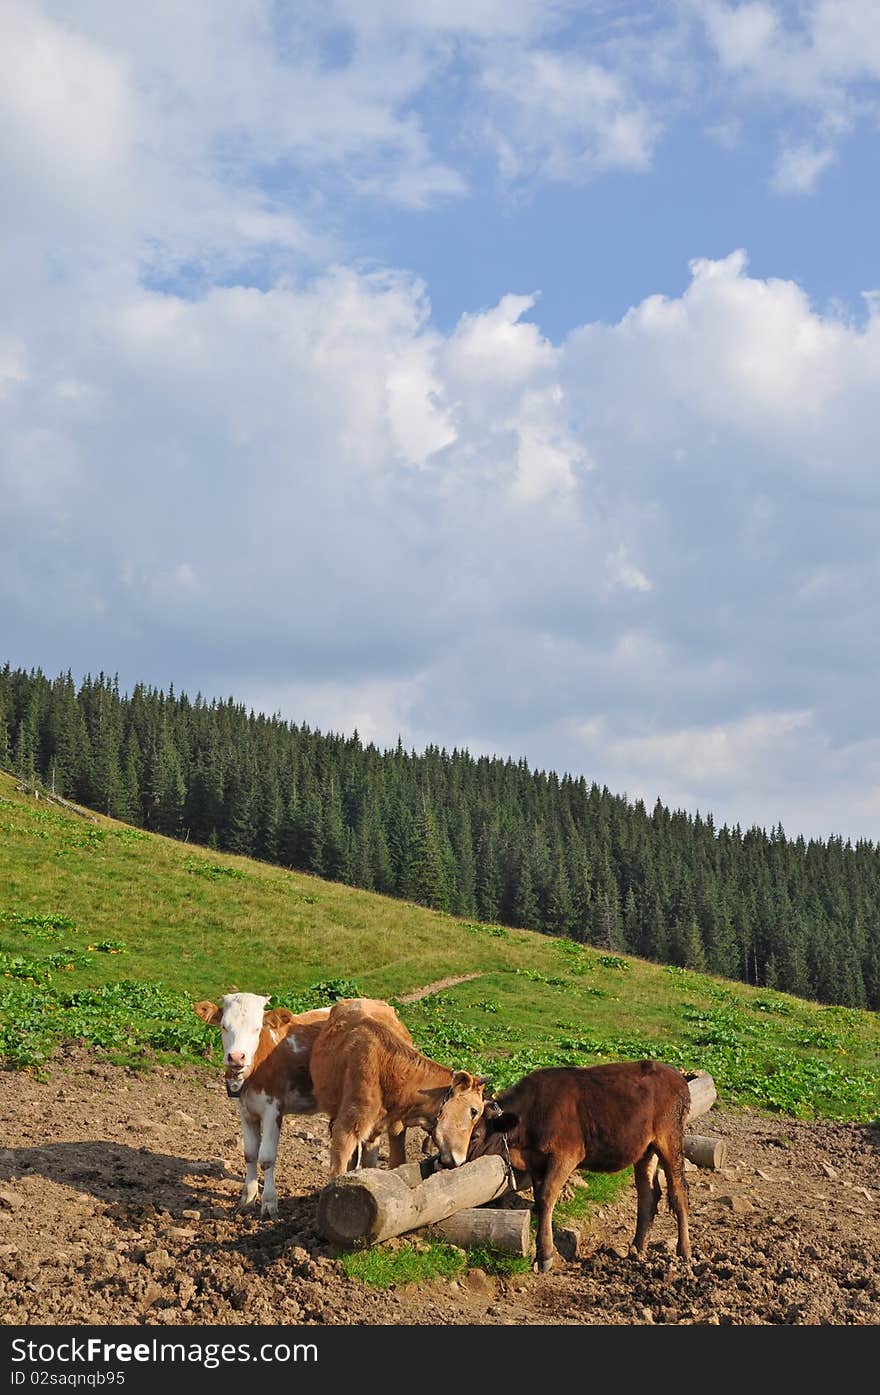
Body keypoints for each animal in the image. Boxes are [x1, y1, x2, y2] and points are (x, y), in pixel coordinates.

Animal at [309, 1004, 488, 1177]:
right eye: (473, 1111)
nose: (460, 1161)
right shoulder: (346, 1128)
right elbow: (337, 1173)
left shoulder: (396, 1128)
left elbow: (396, 1163)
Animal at [468, 1060, 694, 1272]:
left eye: (475, 1135)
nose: (458, 1159)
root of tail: (676, 1076)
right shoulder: (536, 1163)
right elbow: (539, 1200)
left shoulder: (566, 1155)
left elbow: (546, 1196)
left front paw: (545, 1256)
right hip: (645, 1150)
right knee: (648, 1194)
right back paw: (637, 1249)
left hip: (670, 1139)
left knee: (678, 1191)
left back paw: (684, 1251)